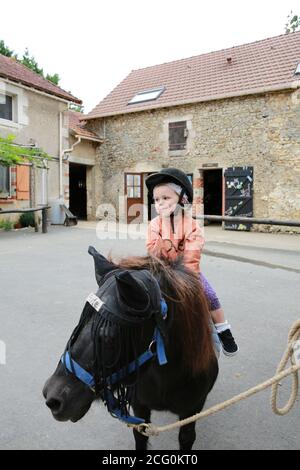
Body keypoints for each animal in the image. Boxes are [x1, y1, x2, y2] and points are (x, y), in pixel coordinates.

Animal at [42, 250, 218, 452]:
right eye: (83, 322)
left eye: (108, 336)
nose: (52, 397)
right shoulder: (139, 408)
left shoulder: (191, 411)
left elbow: (186, 438)